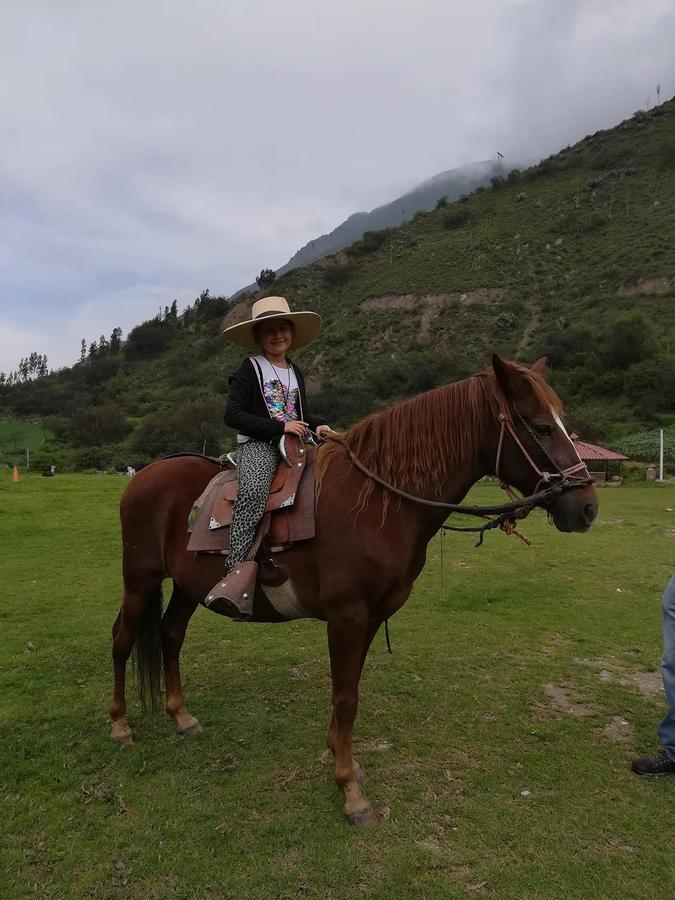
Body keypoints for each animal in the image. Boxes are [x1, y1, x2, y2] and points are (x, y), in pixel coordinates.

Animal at [109, 356, 596, 828]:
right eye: (541, 427)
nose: (587, 507)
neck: (379, 503)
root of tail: (144, 476)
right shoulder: (347, 616)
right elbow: (346, 697)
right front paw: (350, 792)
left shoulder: (372, 616)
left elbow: (350, 689)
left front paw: (343, 761)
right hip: (140, 579)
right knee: (123, 639)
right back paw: (120, 726)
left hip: (188, 586)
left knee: (171, 635)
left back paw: (181, 716)